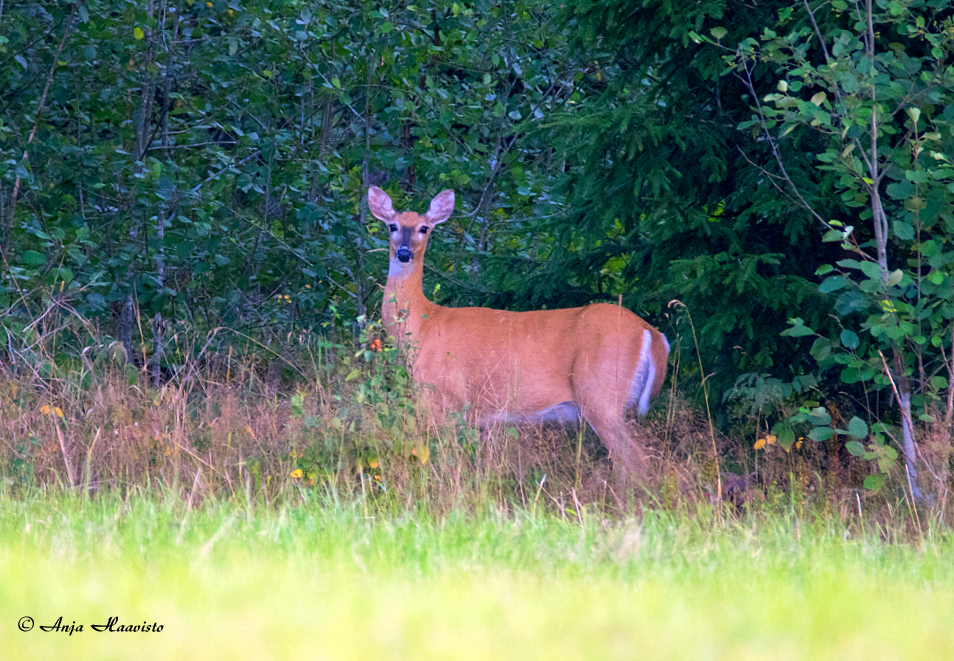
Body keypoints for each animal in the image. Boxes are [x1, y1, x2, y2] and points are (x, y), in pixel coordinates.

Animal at [368, 185, 669, 481]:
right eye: (392, 226)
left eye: (424, 228)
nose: (404, 253)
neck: (424, 326)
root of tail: (652, 333)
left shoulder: (445, 396)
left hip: (601, 393)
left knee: (635, 462)